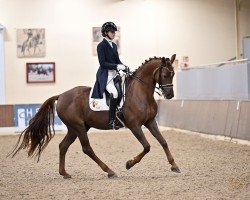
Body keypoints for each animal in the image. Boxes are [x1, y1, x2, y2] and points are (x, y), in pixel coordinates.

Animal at [11, 54, 180, 178]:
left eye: (173, 74)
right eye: (165, 74)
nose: (170, 95)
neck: (140, 92)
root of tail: (61, 95)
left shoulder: (150, 122)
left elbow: (163, 142)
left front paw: (174, 165)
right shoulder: (134, 125)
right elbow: (147, 146)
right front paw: (129, 164)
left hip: (75, 128)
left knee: (63, 146)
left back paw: (64, 173)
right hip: (78, 127)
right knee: (87, 148)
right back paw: (109, 171)